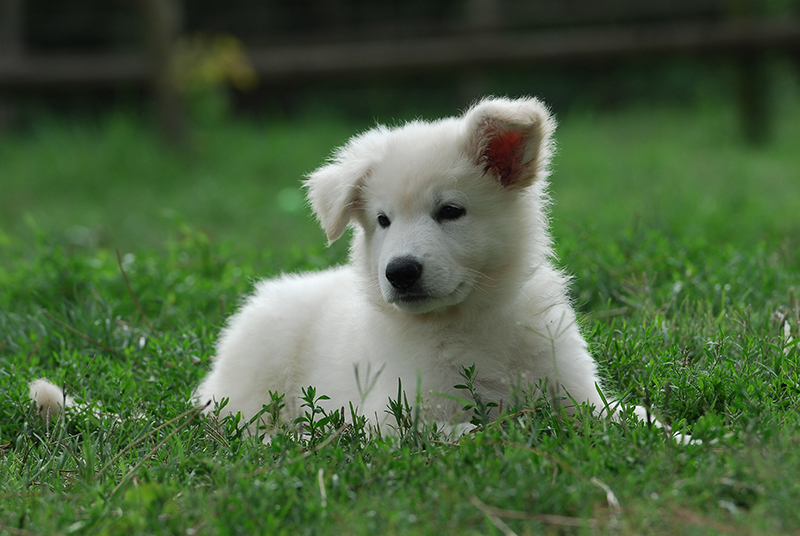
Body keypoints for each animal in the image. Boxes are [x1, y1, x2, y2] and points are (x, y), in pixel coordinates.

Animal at [192, 95, 656, 432]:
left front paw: (670, 436)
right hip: (257, 374)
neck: (469, 321)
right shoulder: (396, 412)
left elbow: (629, 418)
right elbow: (469, 433)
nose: (400, 272)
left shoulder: (576, 387)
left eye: (450, 211)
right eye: (383, 220)